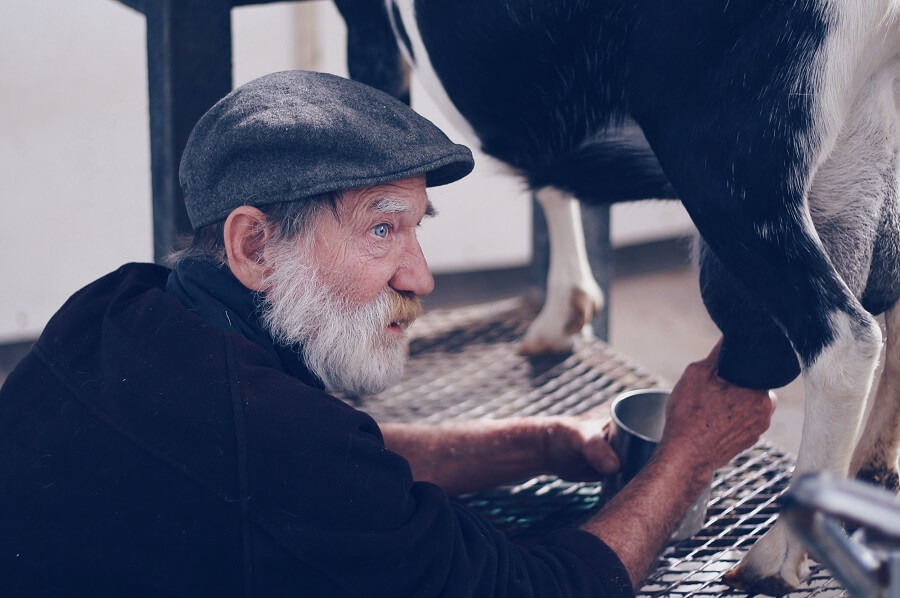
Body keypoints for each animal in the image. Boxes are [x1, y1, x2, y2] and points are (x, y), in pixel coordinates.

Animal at [336, 0, 900, 596]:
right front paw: (564, 312)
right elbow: (550, 175)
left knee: (844, 338)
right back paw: (870, 475)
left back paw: (776, 556)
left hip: (728, 160)